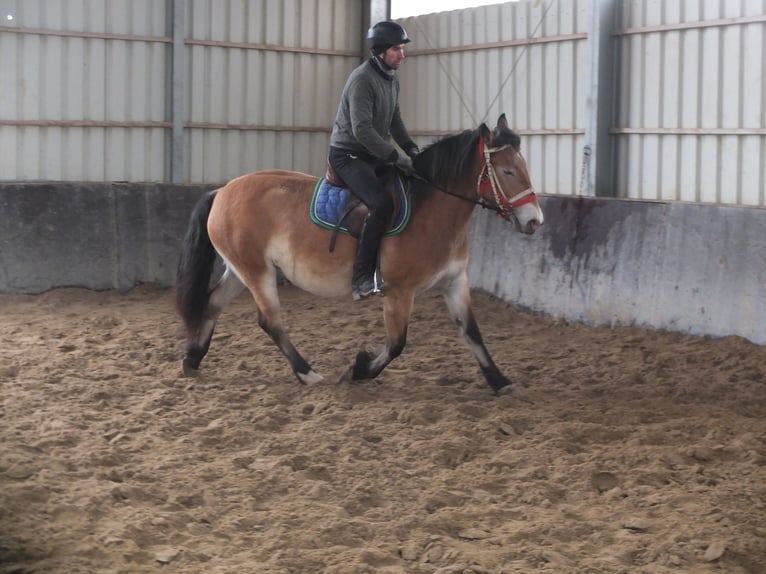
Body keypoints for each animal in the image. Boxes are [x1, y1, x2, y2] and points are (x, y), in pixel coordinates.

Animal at [176, 116, 544, 396]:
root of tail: (223, 190)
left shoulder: (455, 282)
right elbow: (396, 344)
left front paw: (499, 381)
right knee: (270, 321)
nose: (534, 221)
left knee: (213, 302)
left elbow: (472, 332)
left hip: (240, 270)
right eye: (507, 171)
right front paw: (359, 369)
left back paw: (192, 359)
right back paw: (307, 373)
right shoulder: (399, 292)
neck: (430, 210)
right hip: (257, 272)